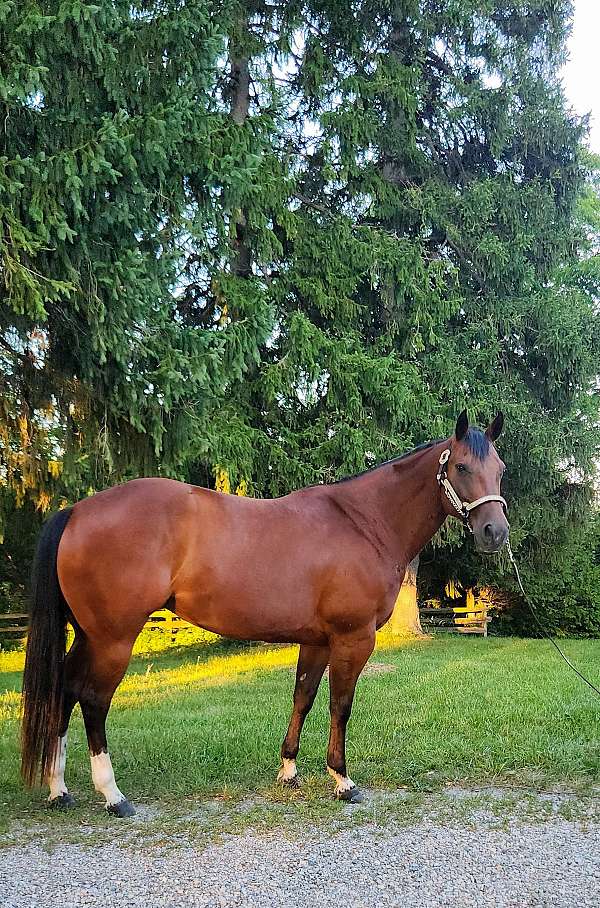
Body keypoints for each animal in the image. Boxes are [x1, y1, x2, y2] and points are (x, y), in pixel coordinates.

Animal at [21, 409, 508, 816]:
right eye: (461, 467)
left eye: (500, 470)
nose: (495, 532)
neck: (363, 522)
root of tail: (77, 510)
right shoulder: (353, 638)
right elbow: (340, 705)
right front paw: (343, 781)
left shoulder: (316, 640)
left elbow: (303, 698)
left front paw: (289, 772)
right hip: (113, 639)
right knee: (93, 700)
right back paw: (113, 795)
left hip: (89, 635)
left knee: (64, 690)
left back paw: (59, 790)